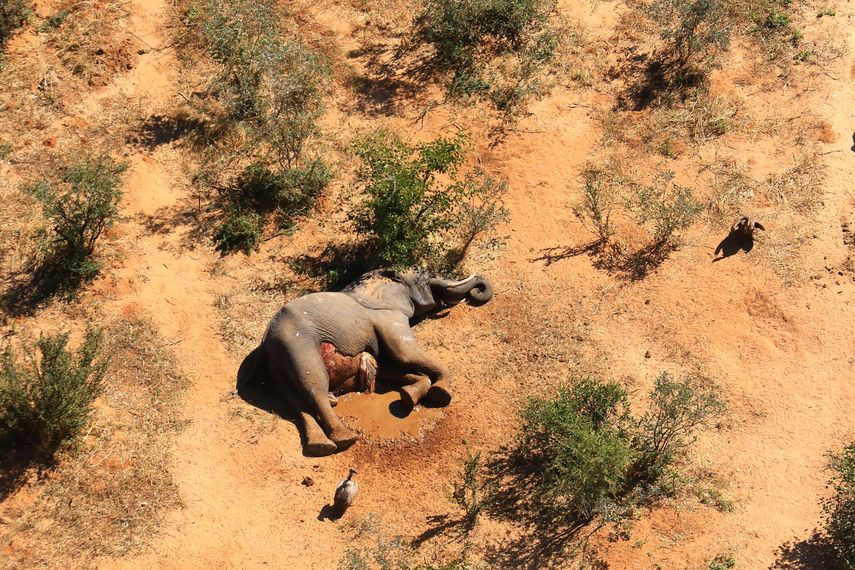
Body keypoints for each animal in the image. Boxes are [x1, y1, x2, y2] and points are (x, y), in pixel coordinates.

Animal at [248, 268, 493, 456]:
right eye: (427, 276)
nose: (476, 290)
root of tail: (265, 341)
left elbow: (388, 366)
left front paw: (408, 396)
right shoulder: (388, 316)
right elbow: (404, 353)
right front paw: (441, 393)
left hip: (278, 360)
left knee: (295, 401)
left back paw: (321, 446)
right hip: (296, 345)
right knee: (315, 387)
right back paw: (346, 438)